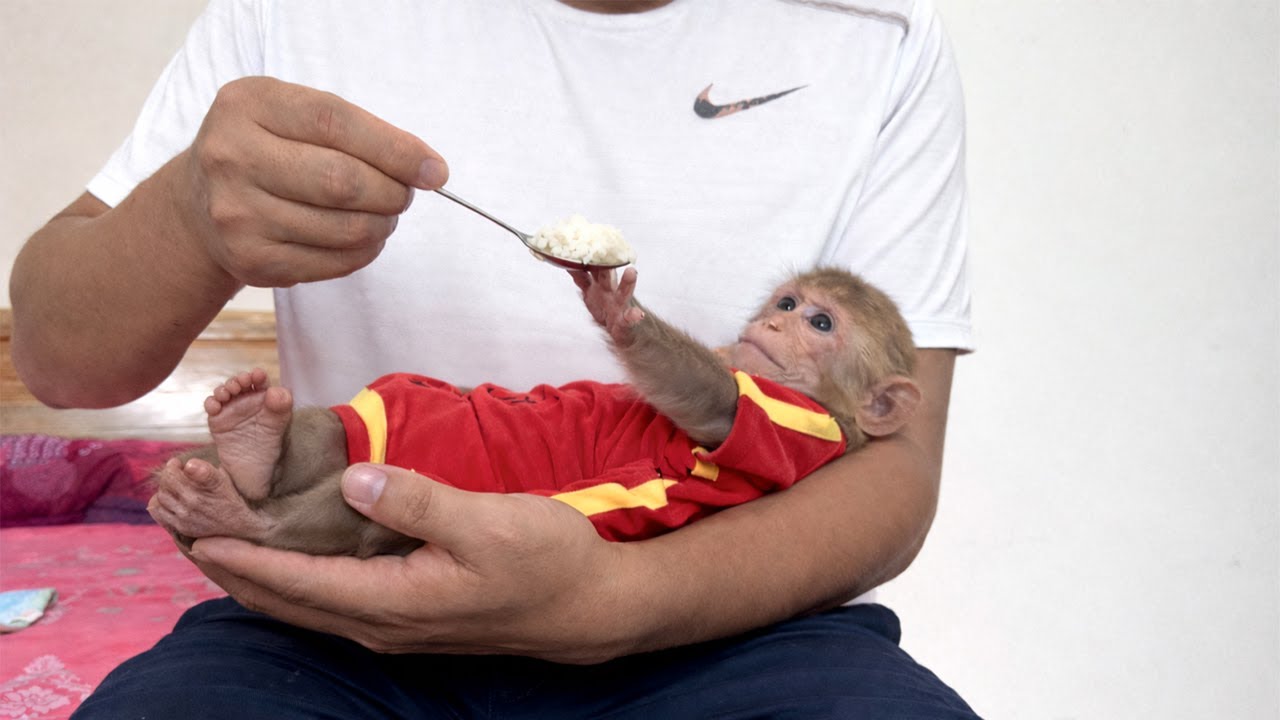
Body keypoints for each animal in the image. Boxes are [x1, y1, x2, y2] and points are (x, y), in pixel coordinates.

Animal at [148, 266, 922, 558]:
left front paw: (620, 312)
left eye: (821, 324)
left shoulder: (799, 419)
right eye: (789, 303)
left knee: (354, 506)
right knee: (329, 432)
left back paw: (238, 512)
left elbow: (726, 404)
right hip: (384, 417)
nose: (775, 324)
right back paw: (248, 443)